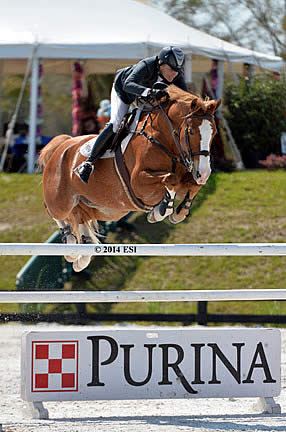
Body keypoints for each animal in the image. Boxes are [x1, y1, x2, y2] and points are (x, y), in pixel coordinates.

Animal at [38, 85, 221, 272]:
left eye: (214, 132)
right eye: (191, 131)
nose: (203, 173)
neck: (162, 138)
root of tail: (60, 147)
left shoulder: (186, 180)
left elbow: (192, 186)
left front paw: (178, 213)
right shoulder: (138, 182)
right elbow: (171, 179)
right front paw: (161, 210)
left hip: (103, 209)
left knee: (80, 217)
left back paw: (82, 255)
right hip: (61, 202)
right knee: (52, 210)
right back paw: (70, 243)